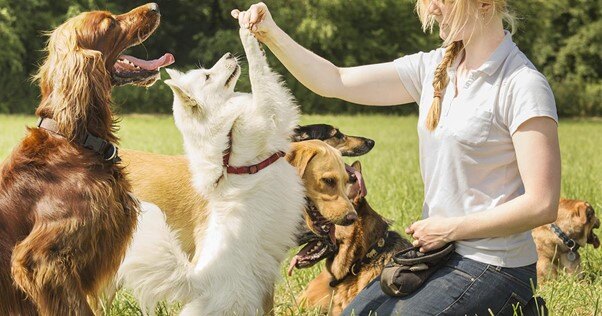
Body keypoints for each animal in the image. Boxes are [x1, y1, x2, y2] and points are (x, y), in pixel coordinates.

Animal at [118, 28, 304, 314]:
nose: (227, 54)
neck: (228, 133)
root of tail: (198, 280)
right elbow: (259, 73)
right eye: (207, 76)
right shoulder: (270, 112)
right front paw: (248, 35)